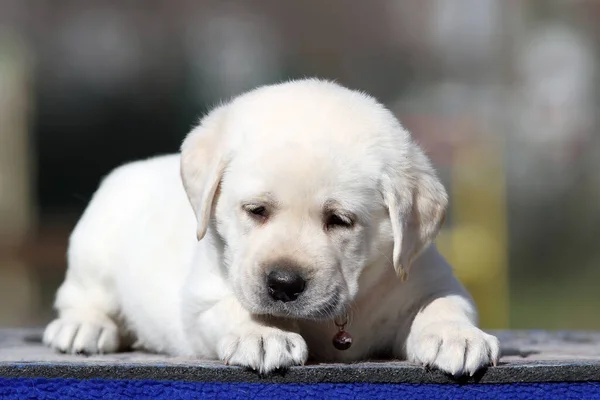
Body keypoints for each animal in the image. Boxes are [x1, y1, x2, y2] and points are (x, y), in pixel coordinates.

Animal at [44, 79, 500, 376]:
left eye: (339, 220)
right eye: (256, 210)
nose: (283, 283)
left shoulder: (424, 275)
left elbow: (444, 303)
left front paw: (456, 337)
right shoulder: (203, 297)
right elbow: (237, 306)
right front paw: (264, 334)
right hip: (94, 248)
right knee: (80, 297)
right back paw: (83, 326)